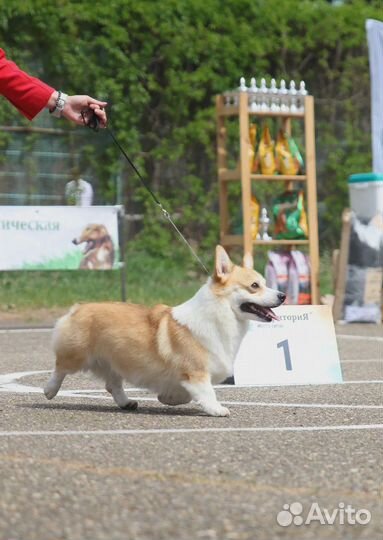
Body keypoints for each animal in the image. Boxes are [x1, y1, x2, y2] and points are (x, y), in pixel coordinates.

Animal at [44, 246, 284, 418]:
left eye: (264, 283)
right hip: (76, 355)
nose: (283, 296)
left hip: (113, 360)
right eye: (254, 286)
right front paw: (217, 409)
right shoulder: (196, 373)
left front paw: (169, 398)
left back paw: (127, 403)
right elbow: (208, 391)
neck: (220, 314)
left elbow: (185, 395)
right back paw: (49, 390)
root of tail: (78, 307)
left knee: (113, 385)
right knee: (60, 368)